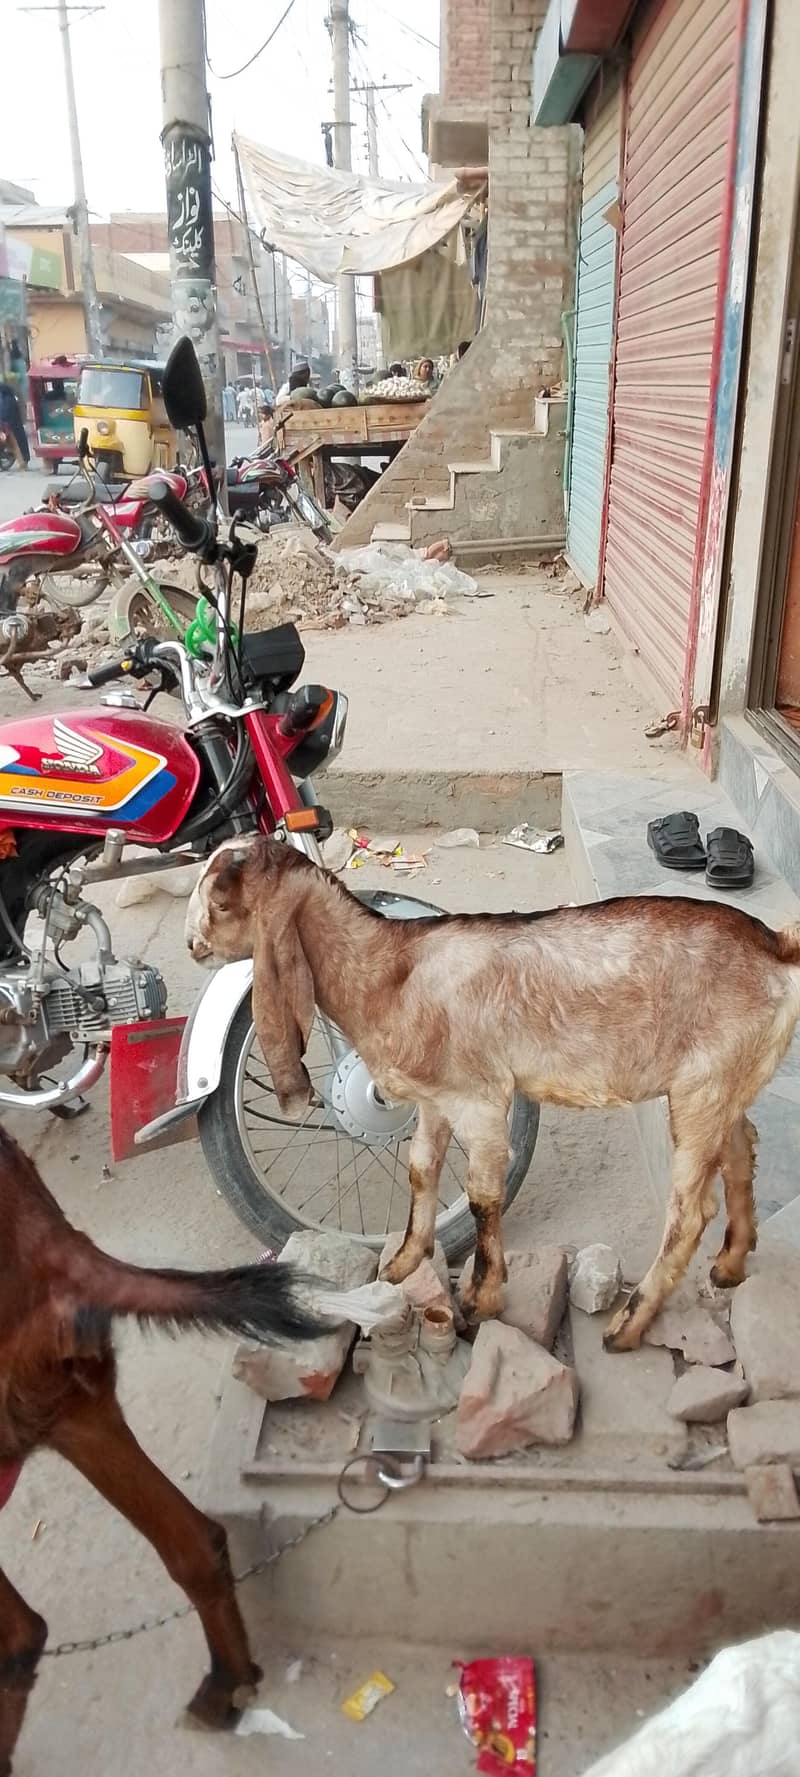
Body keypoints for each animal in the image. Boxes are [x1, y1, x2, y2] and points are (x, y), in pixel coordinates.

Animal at [187, 836, 800, 1351]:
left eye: (221, 898)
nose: (192, 944)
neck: (393, 973)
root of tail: (776, 947)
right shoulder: (435, 1100)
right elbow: (422, 1170)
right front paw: (403, 1262)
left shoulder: (478, 1096)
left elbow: (483, 1194)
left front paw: (481, 1299)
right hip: (727, 1083)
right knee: (741, 1151)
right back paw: (730, 1264)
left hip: (702, 1087)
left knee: (691, 1210)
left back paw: (629, 1325)